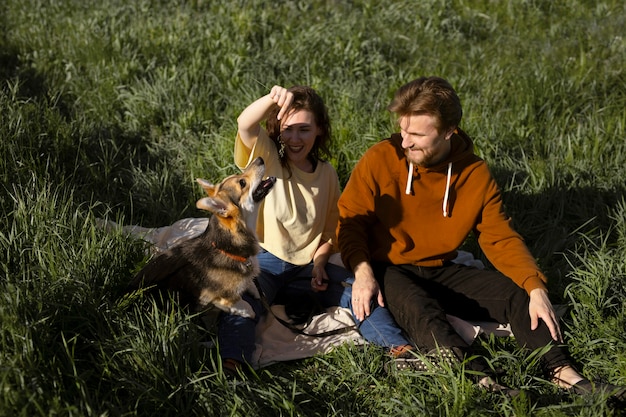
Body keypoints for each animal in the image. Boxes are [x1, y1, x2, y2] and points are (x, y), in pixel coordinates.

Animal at [127, 156, 272, 316]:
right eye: (242, 183)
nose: (259, 159)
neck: (228, 247)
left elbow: (251, 282)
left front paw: (254, 288)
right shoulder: (214, 297)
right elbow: (237, 302)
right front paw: (248, 311)